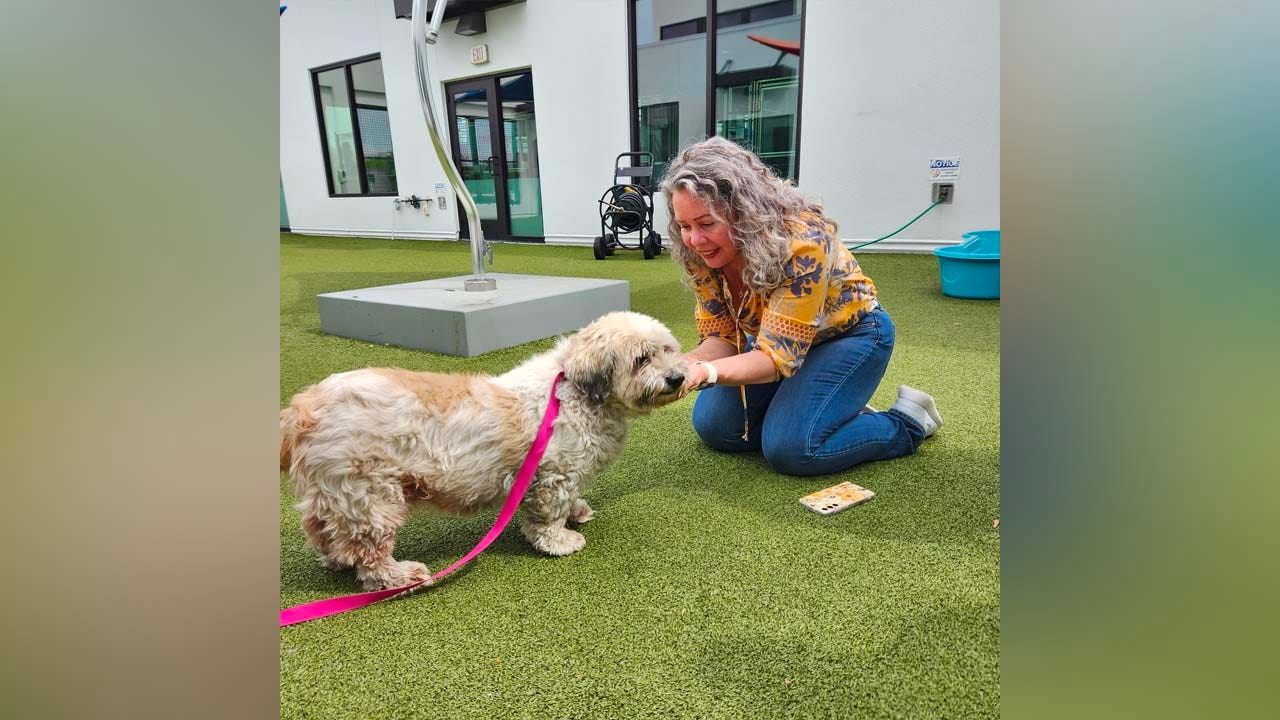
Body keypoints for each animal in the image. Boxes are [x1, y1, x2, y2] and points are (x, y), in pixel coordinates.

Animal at [276, 310, 686, 589]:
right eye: (642, 358)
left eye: (668, 350)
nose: (678, 377)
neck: (573, 389)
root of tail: (301, 409)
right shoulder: (552, 475)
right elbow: (548, 516)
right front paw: (559, 541)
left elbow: (570, 501)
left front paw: (577, 511)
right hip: (369, 496)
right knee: (369, 550)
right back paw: (400, 576)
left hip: (335, 493)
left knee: (323, 530)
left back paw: (335, 560)